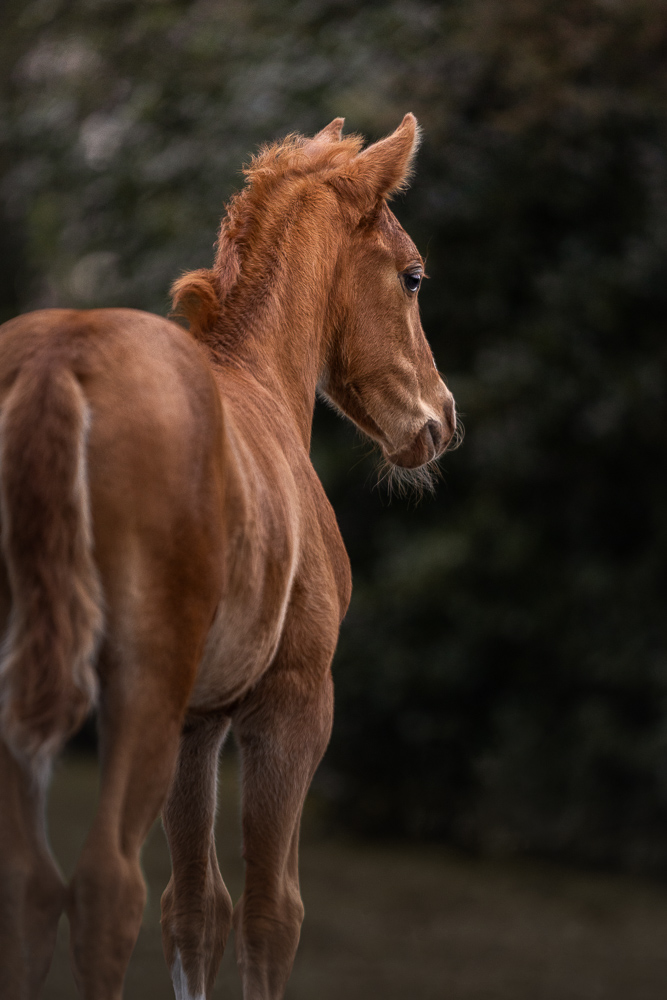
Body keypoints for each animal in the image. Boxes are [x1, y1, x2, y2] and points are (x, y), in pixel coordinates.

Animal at [0, 113, 456, 1000]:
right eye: (413, 277)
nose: (441, 419)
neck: (259, 380)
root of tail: (59, 361)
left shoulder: (199, 722)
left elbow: (194, 909)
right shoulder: (293, 703)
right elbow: (269, 912)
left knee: (31, 890)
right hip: (139, 688)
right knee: (106, 890)